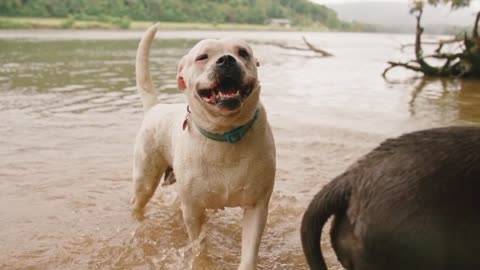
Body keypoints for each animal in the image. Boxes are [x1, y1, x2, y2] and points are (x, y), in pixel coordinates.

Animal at [129, 23, 276, 270]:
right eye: (202, 57)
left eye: (243, 53)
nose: (226, 60)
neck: (225, 134)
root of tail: (156, 107)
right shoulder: (193, 210)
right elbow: (199, 246)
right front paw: (203, 261)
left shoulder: (257, 206)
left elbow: (249, 252)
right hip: (145, 178)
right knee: (139, 201)